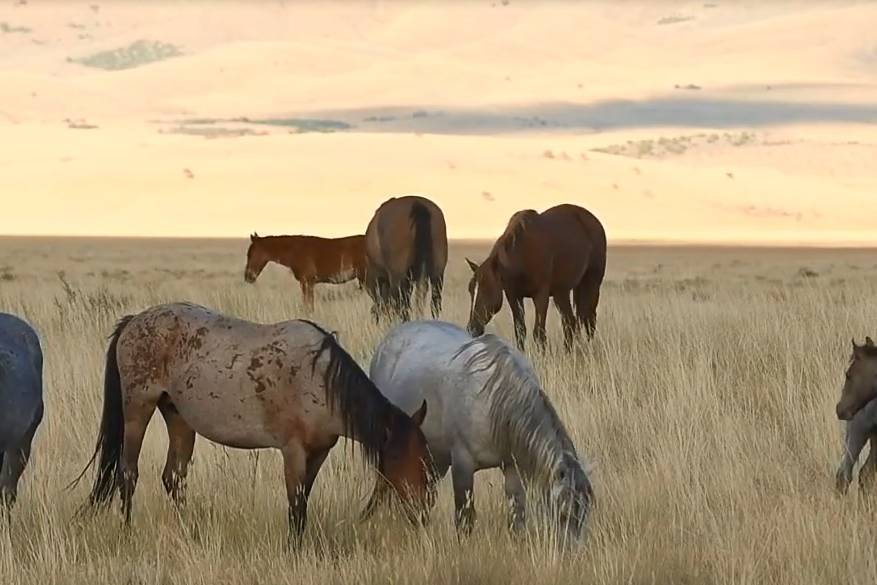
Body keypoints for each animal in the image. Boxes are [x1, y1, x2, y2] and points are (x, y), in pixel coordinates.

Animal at [74, 302, 432, 542]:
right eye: (407, 459)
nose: (424, 514)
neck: (320, 380)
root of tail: (134, 320)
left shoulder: (318, 453)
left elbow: (304, 500)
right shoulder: (293, 451)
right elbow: (296, 502)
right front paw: (294, 549)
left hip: (178, 417)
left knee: (173, 478)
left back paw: (190, 532)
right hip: (139, 409)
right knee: (128, 472)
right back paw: (127, 530)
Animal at [363, 320, 593, 543]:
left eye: (584, 515)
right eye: (564, 513)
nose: (572, 551)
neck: (494, 400)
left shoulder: (511, 467)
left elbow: (516, 517)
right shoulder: (462, 464)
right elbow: (464, 518)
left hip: (434, 459)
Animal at [466, 203, 606, 352]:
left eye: (487, 289)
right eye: (470, 290)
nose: (472, 329)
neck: (523, 254)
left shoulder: (541, 295)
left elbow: (539, 332)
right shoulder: (513, 296)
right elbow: (520, 330)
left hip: (592, 284)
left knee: (589, 320)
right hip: (561, 292)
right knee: (570, 322)